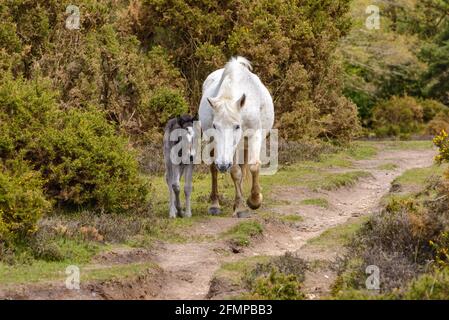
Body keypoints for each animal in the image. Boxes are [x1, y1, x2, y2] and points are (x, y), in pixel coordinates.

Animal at [199, 57, 272, 218]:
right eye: (215, 126)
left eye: (237, 126)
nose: (222, 165)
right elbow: (235, 172)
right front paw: (240, 207)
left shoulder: (254, 135)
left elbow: (254, 166)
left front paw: (254, 201)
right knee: (214, 169)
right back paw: (215, 204)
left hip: (244, 144)